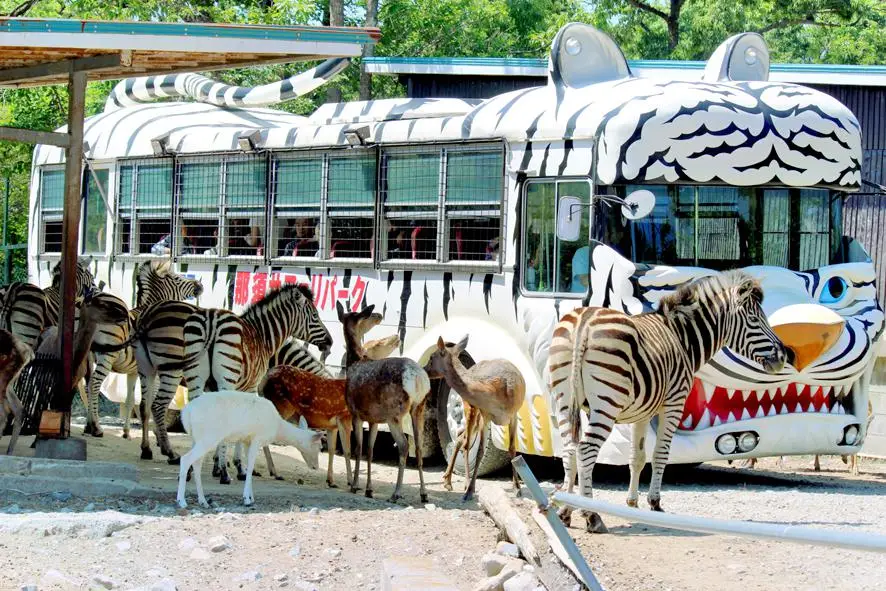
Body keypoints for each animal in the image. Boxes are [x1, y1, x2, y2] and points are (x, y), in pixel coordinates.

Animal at [86, 260, 204, 440]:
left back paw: (87, 426)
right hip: (107, 355)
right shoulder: (154, 370)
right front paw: (156, 431)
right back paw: (97, 427)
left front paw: (126, 432)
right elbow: (150, 401)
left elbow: (130, 400)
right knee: (94, 384)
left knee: (85, 385)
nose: (200, 285)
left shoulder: (133, 371)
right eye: (177, 278)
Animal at [182, 286, 334, 486]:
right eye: (315, 315)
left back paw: (192, 469)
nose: (330, 342)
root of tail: (212, 318)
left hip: (196, 379)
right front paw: (238, 468)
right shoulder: (250, 388)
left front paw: (216, 465)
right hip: (226, 379)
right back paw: (225, 474)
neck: (264, 338)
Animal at [560, 270, 788, 536]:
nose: (783, 356)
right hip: (606, 404)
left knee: (569, 448)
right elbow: (660, 454)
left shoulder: (642, 411)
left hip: (562, 398)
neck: (682, 339)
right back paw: (592, 515)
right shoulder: (674, 404)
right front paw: (654, 502)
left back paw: (566, 509)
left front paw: (632, 502)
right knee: (586, 449)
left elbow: (637, 457)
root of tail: (583, 322)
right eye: (754, 319)